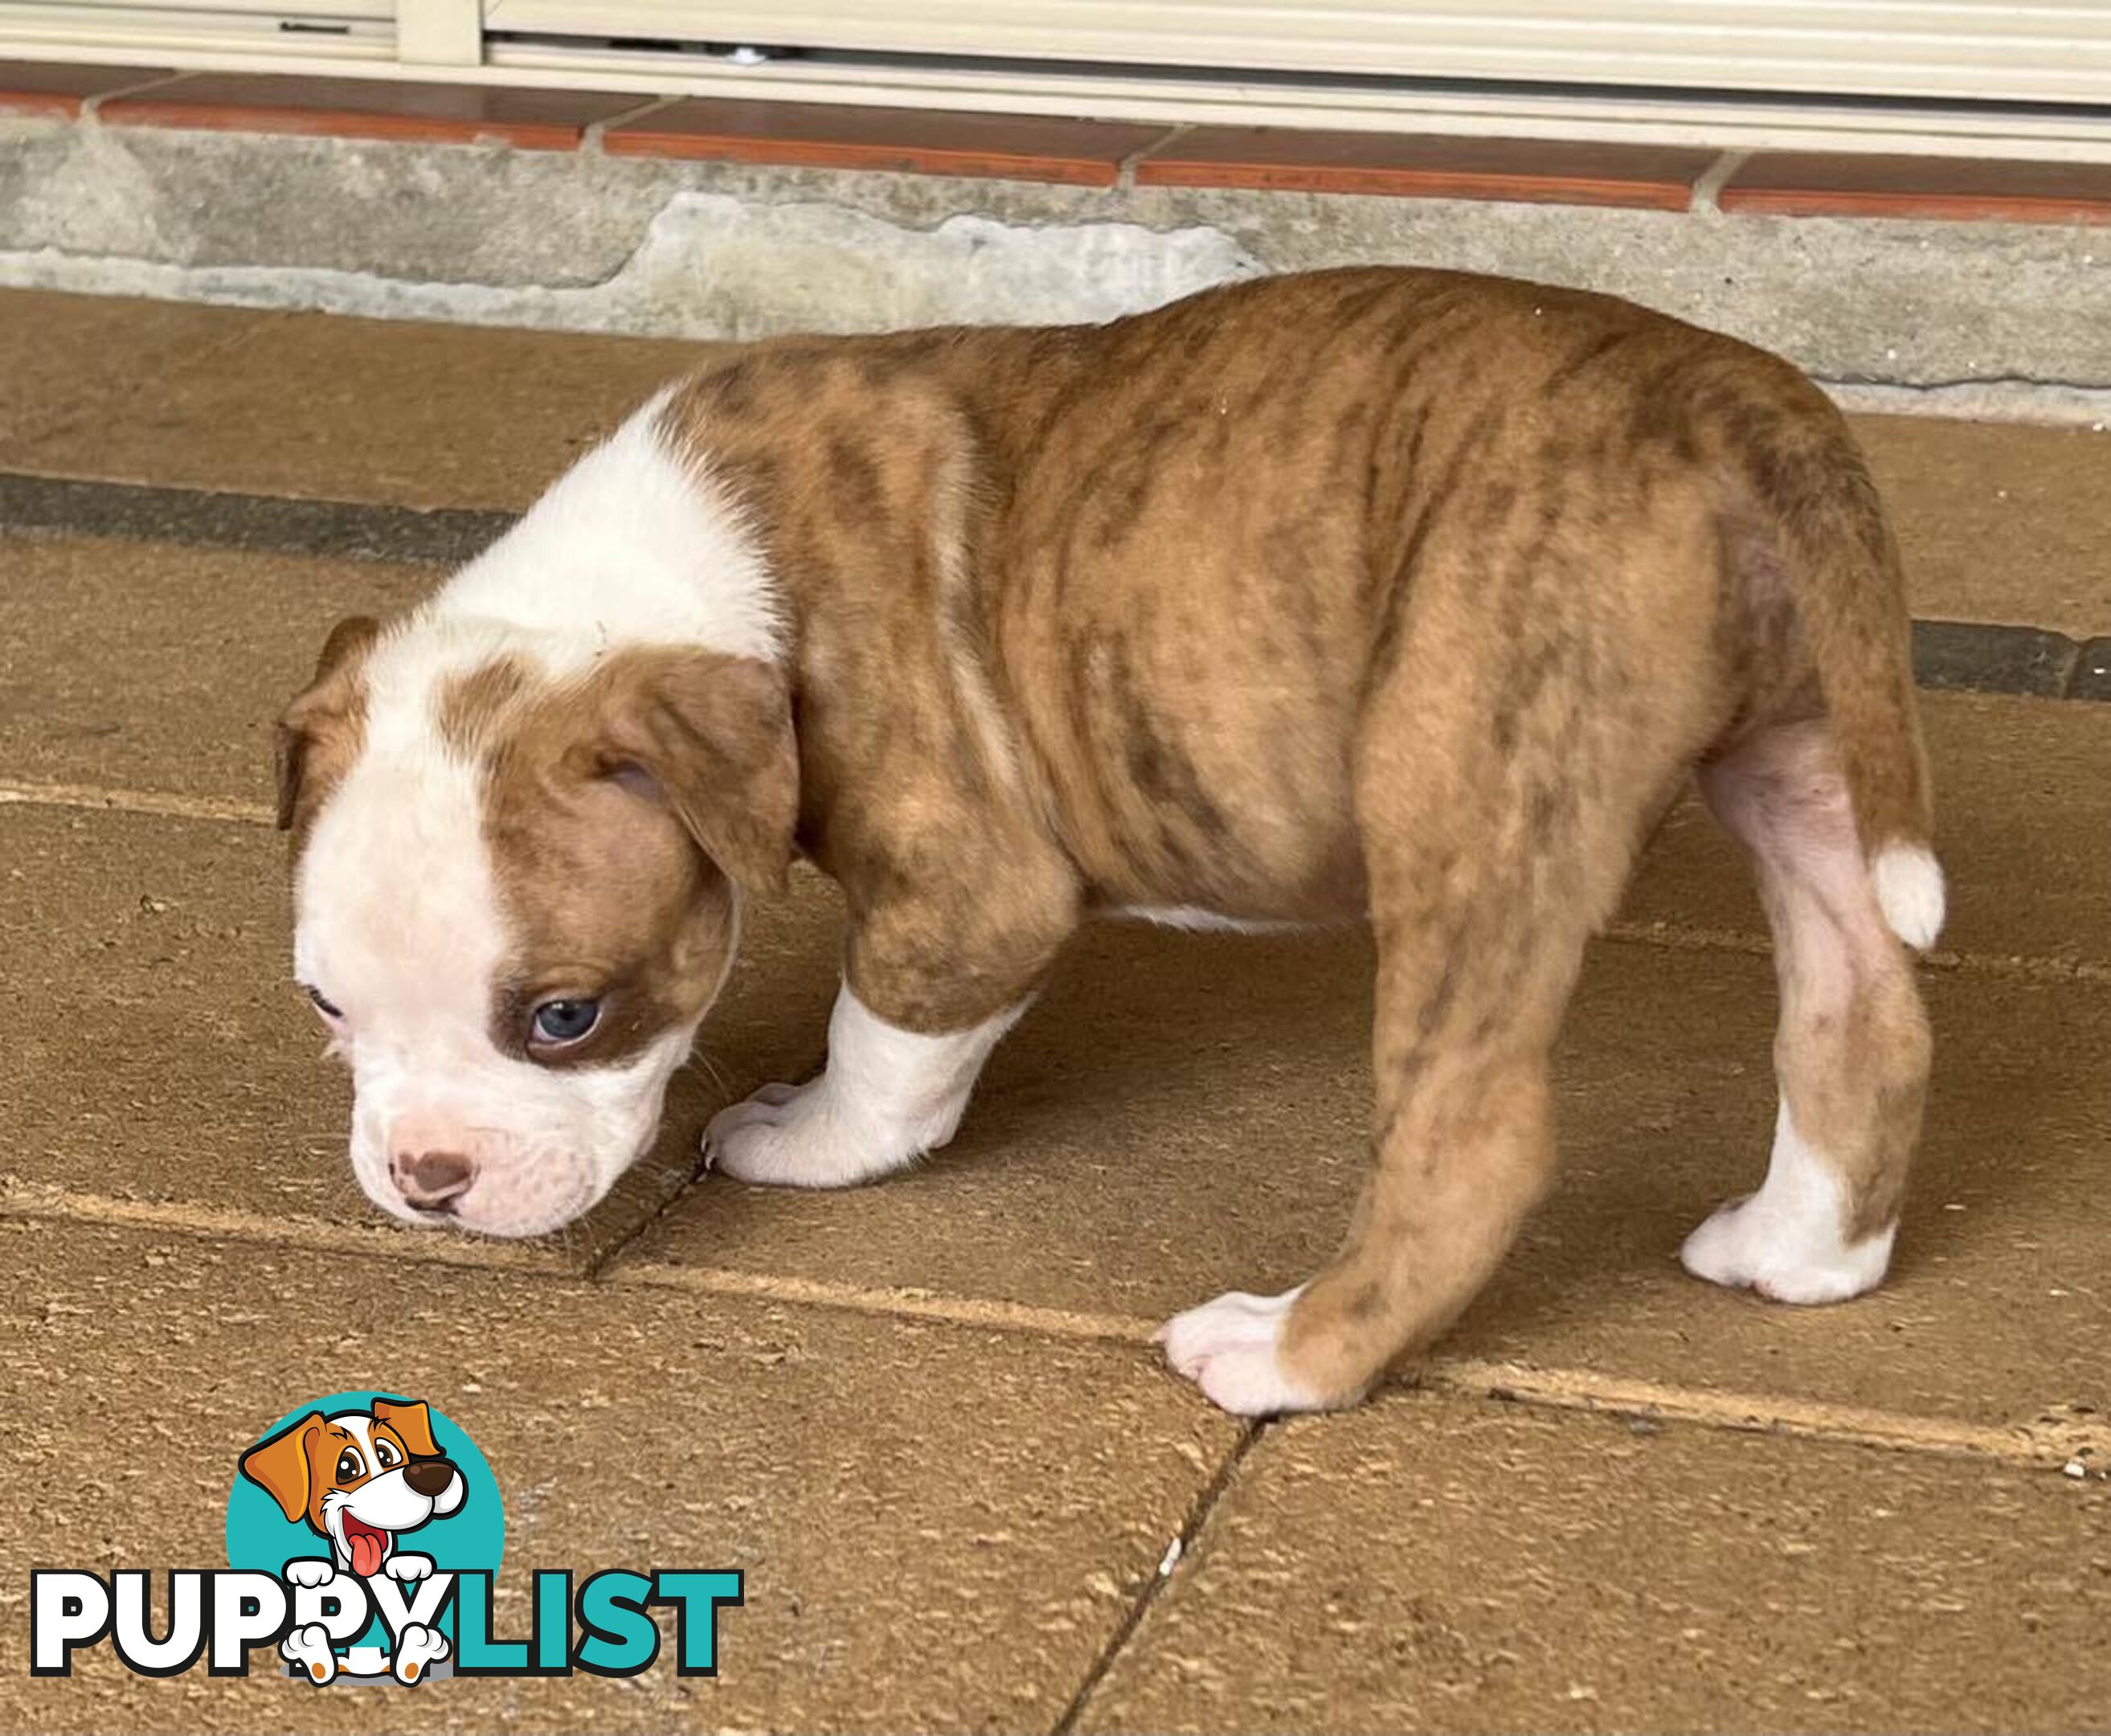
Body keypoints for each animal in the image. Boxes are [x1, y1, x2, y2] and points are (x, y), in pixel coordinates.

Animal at [280, 268, 1941, 1410]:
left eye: (566, 1016)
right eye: (325, 1008)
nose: (426, 1179)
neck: (664, 584)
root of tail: (1736, 408)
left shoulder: (968, 891)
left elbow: (886, 1041)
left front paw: (808, 1139)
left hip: (1469, 770)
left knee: (1470, 1139)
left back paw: (1287, 1353)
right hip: (1803, 758)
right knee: (1857, 1009)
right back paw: (1803, 1250)